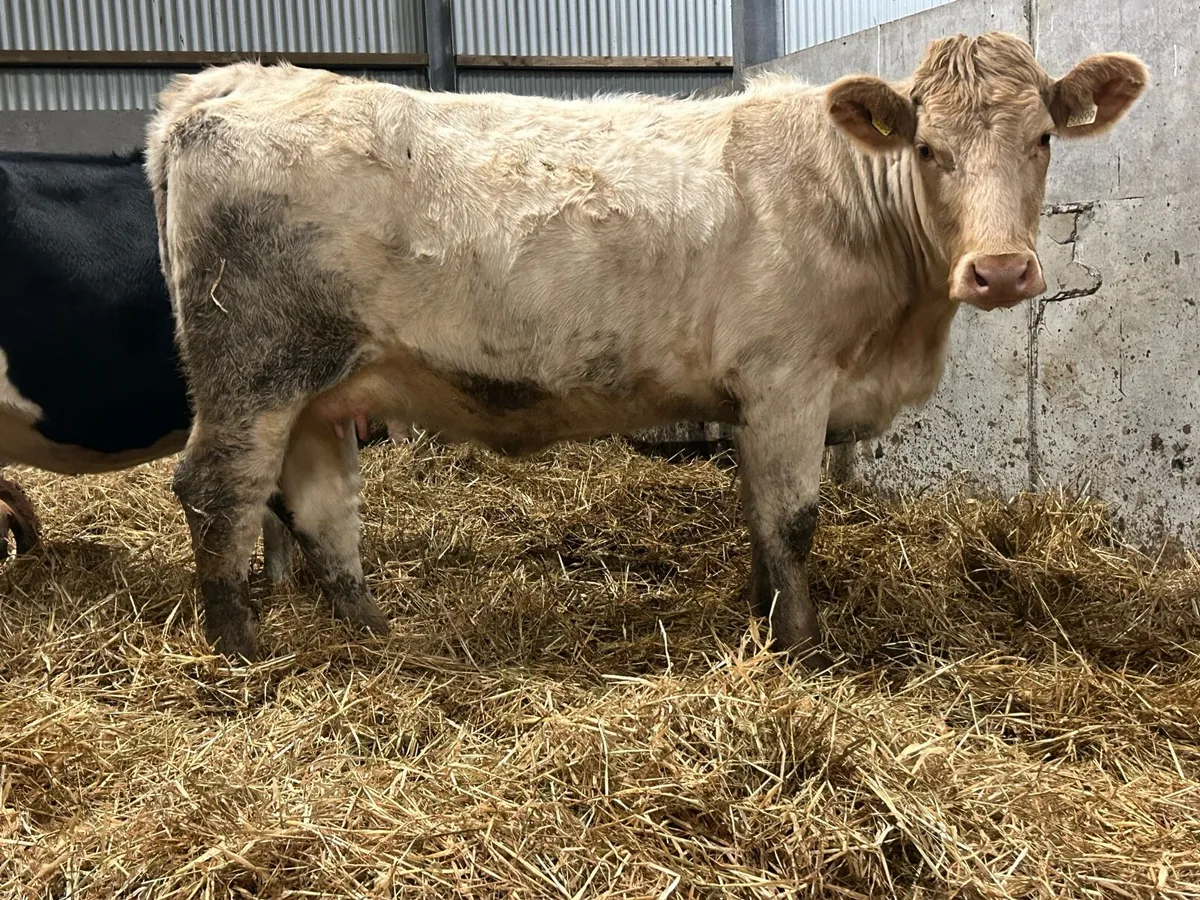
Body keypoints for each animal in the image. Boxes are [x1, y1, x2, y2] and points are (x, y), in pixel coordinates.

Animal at [145, 32, 1148, 663]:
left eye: (1044, 138)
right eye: (929, 148)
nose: (1001, 270)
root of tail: (228, 81)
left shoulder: (752, 399)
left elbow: (756, 517)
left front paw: (762, 618)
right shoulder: (788, 379)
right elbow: (794, 520)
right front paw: (805, 650)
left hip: (323, 385)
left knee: (319, 509)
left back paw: (372, 634)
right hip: (253, 366)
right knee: (219, 492)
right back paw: (241, 655)